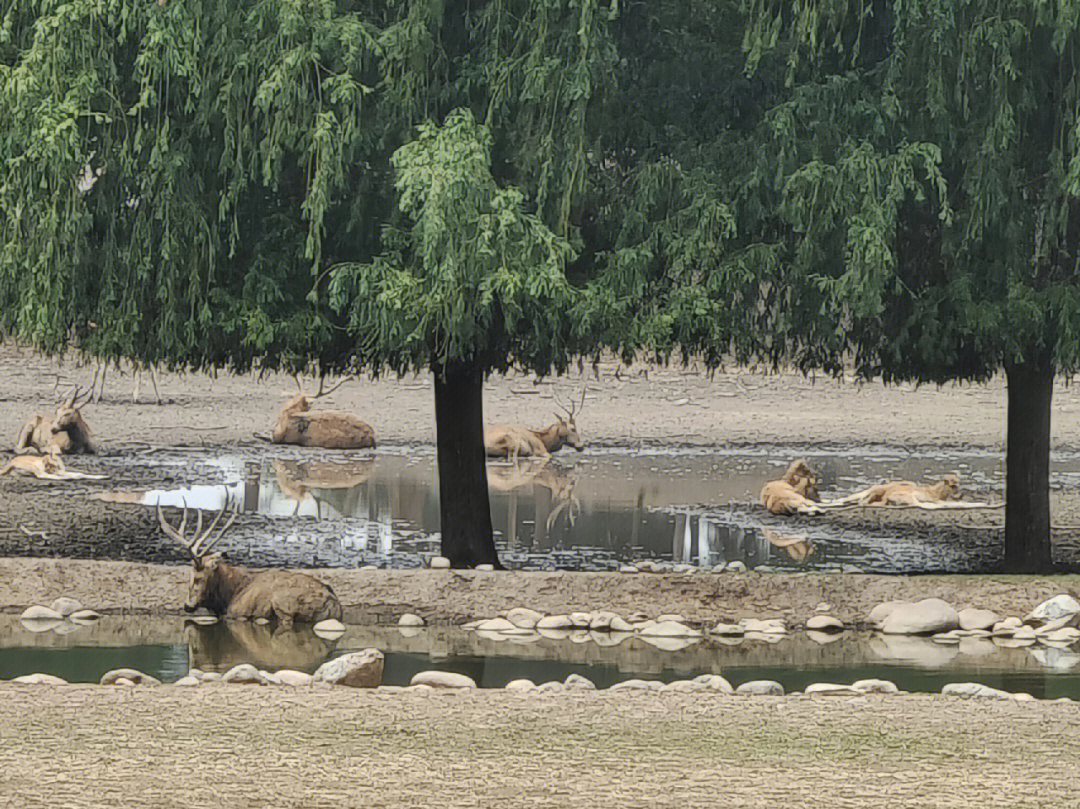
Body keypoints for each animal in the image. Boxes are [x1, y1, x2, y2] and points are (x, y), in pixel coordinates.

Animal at [155, 499, 341, 626]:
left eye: (198, 577)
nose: (187, 605)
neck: (227, 596)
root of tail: (333, 605)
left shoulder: (236, 613)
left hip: (283, 603)